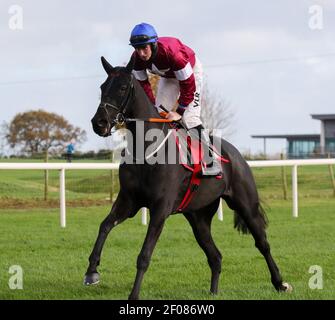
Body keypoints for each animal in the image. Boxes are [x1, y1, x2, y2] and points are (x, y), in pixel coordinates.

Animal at [85, 56, 292, 298]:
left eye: (123, 88)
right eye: (102, 87)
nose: (98, 123)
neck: (147, 149)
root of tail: (237, 155)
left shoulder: (161, 209)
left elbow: (144, 255)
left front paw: (133, 295)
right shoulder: (128, 202)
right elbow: (104, 226)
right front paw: (92, 271)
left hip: (246, 204)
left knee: (262, 243)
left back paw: (280, 283)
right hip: (198, 217)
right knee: (215, 256)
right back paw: (213, 292)